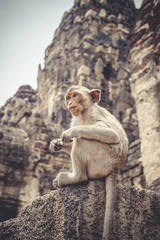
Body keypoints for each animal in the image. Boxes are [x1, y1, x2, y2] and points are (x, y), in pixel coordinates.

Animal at [50, 86, 129, 240]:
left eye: (75, 95)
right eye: (68, 97)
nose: (70, 103)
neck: (83, 115)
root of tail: (116, 169)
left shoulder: (94, 114)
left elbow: (112, 135)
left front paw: (70, 132)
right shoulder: (75, 119)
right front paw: (56, 144)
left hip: (102, 160)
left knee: (83, 139)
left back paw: (75, 178)